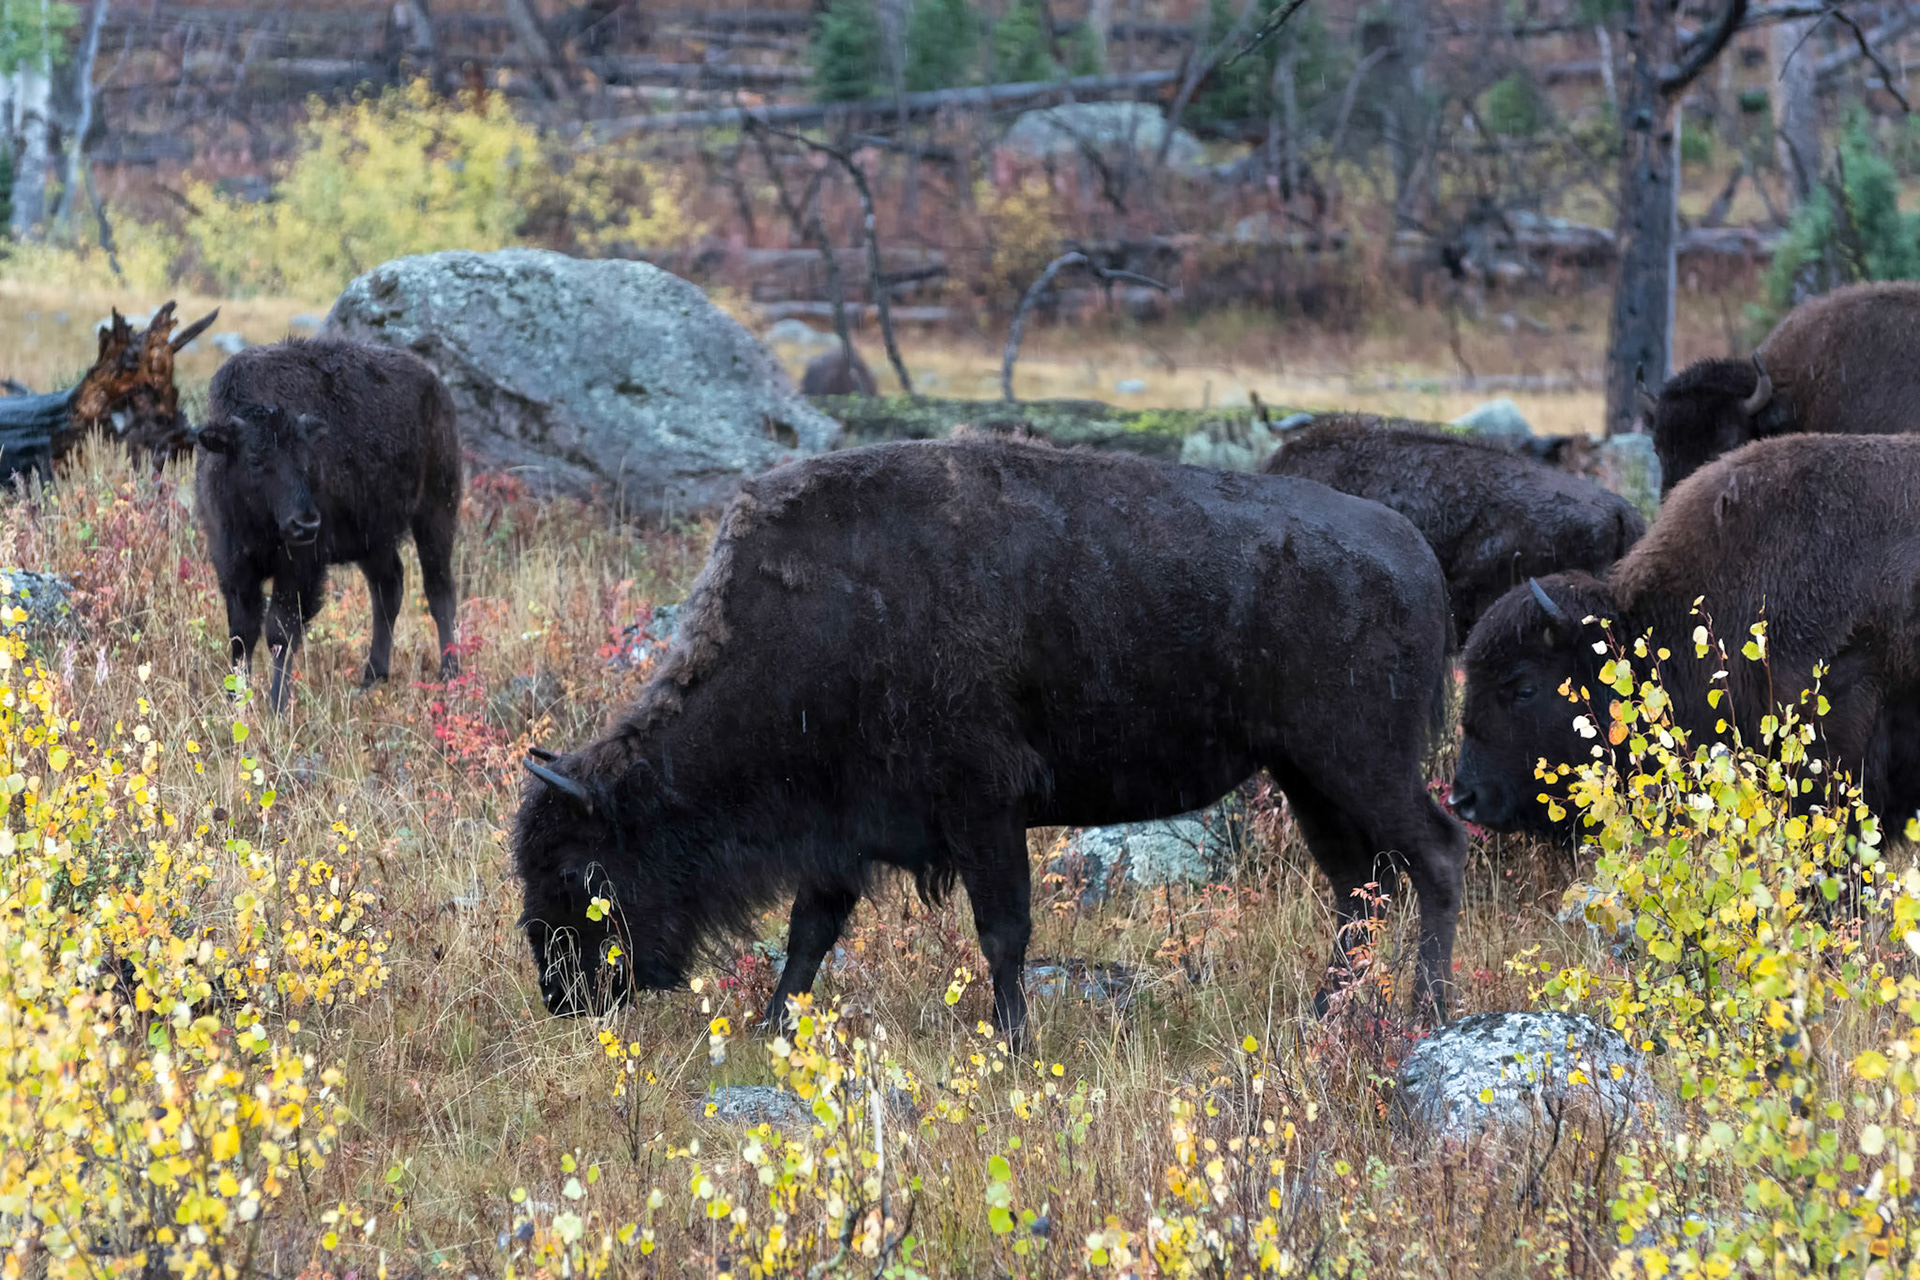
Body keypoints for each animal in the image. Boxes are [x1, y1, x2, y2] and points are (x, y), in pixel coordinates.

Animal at [196, 338, 461, 711]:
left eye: (308, 459)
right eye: (254, 459)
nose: (305, 524)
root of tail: (437, 387)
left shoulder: (300, 569)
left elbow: (281, 631)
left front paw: (277, 705)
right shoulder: (233, 568)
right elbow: (242, 634)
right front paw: (235, 699)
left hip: (436, 513)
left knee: (439, 590)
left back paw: (449, 674)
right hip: (374, 539)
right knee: (388, 588)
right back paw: (371, 677)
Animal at [515, 436, 1465, 1040]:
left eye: (582, 872)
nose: (561, 995)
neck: (819, 623)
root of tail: (1415, 552)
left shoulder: (982, 814)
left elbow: (1001, 932)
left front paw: (1012, 1041)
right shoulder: (842, 834)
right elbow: (808, 935)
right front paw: (771, 1028)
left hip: (1360, 764)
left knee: (1435, 854)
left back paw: (1428, 1010)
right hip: (1307, 778)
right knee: (1356, 888)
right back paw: (1325, 1014)